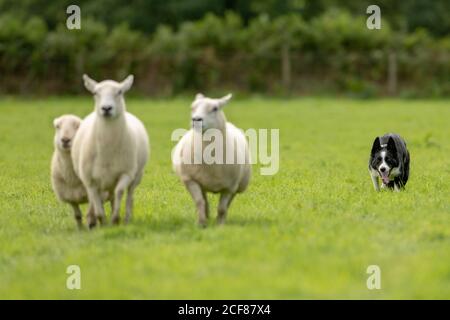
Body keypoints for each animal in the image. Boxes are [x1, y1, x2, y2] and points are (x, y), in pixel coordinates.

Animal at [72, 74, 149, 228]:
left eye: (120, 92)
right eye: (95, 93)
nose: (106, 108)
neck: (107, 149)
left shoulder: (126, 173)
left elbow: (120, 192)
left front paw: (114, 219)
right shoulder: (89, 180)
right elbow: (96, 202)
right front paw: (100, 221)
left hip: (137, 175)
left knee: (129, 195)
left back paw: (126, 218)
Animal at [171, 94, 250, 226]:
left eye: (215, 108)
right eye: (192, 107)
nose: (196, 119)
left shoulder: (229, 187)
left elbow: (222, 208)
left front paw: (220, 225)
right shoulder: (191, 180)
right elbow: (199, 202)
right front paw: (201, 223)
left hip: (238, 185)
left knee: (228, 203)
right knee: (204, 201)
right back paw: (206, 216)